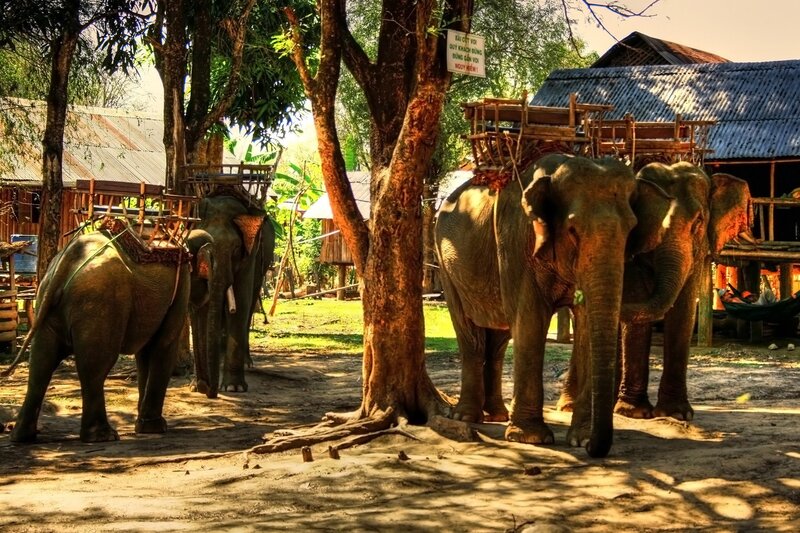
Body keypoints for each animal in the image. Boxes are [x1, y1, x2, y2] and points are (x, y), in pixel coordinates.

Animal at [5, 225, 203, 443]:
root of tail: (68, 258)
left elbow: (145, 353)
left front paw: (143, 426)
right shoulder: (181, 285)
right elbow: (163, 345)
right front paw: (155, 428)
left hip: (48, 301)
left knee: (41, 362)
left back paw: (21, 436)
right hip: (102, 303)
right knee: (96, 365)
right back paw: (103, 436)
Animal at [188, 193, 275, 398]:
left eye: (236, 248)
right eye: (197, 244)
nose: (205, 388)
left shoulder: (250, 256)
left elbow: (241, 303)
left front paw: (233, 388)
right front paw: (195, 386)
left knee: (250, 306)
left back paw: (246, 363)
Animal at [434, 154, 675, 457]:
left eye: (631, 229)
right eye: (572, 230)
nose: (594, 448)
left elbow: (584, 326)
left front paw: (580, 439)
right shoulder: (515, 240)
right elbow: (529, 318)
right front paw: (529, 438)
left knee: (499, 337)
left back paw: (497, 415)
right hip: (445, 264)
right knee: (470, 333)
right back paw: (466, 416)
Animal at [558, 162, 754, 421]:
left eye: (698, 221)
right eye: (644, 223)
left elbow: (684, 310)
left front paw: (677, 414)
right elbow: (639, 306)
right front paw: (634, 413)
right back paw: (570, 406)